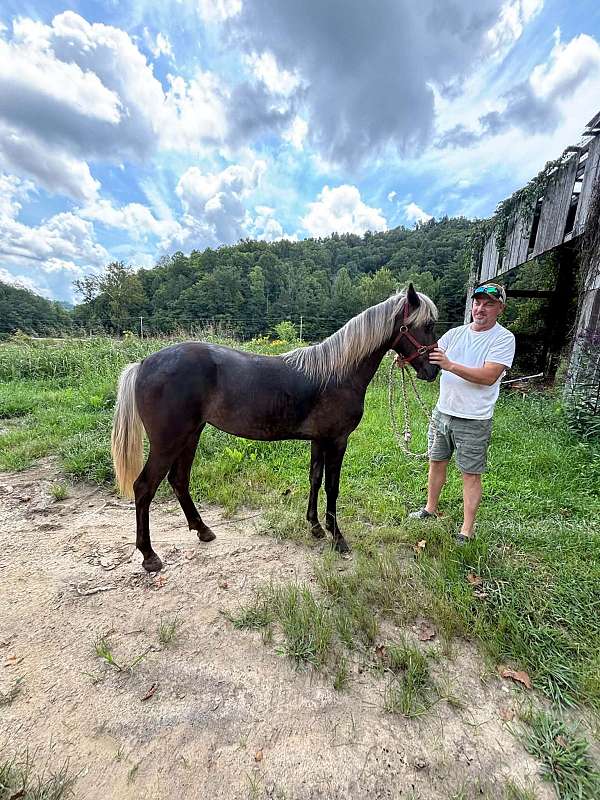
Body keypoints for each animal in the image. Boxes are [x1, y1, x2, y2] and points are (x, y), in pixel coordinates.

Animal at [111, 284, 439, 572]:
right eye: (427, 325)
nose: (433, 370)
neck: (338, 372)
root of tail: (143, 364)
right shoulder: (337, 440)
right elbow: (332, 487)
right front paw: (338, 538)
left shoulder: (319, 440)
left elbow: (315, 479)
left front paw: (315, 527)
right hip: (168, 442)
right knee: (144, 487)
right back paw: (149, 556)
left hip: (190, 436)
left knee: (179, 480)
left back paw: (203, 530)